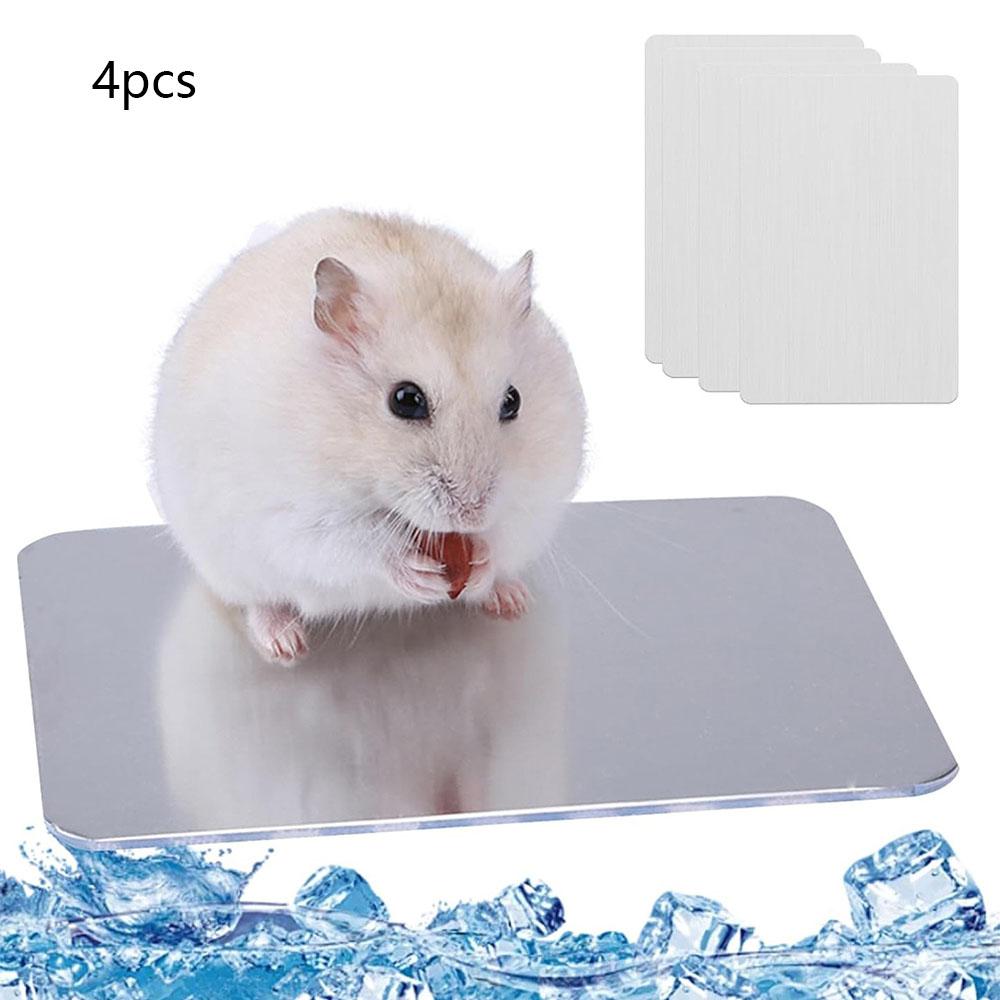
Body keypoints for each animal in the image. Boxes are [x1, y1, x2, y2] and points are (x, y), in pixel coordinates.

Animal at [152, 209, 586, 663]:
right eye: (406, 400)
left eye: (513, 401)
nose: (473, 512)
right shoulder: (288, 516)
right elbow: (351, 541)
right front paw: (417, 571)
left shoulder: (536, 499)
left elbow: (505, 532)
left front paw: (483, 559)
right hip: (232, 566)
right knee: (260, 601)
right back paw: (284, 644)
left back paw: (511, 599)